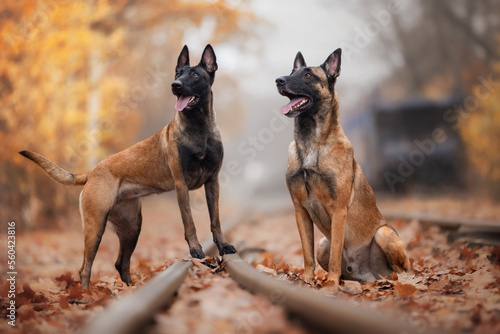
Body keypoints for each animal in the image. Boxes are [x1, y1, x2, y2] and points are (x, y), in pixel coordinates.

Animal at [21, 43, 236, 290]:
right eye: (178, 73)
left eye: (194, 75)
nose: (175, 85)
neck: (199, 128)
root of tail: (91, 172)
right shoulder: (182, 185)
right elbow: (189, 223)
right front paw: (197, 251)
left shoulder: (212, 182)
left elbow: (215, 221)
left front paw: (223, 246)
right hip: (95, 227)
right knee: (85, 267)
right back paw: (86, 295)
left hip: (132, 226)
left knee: (121, 262)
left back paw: (130, 288)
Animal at [276, 48, 408, 290]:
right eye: (292, 72)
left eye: (308, 75)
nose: (279, 80)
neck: (311, 143)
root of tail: (369, 276)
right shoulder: (300, 212)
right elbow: (307, 255)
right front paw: (307, 281)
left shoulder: (338, 211)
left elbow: (337, 253)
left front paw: (331, 284)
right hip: (322, 243)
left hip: (384, 233)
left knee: (403, 270)